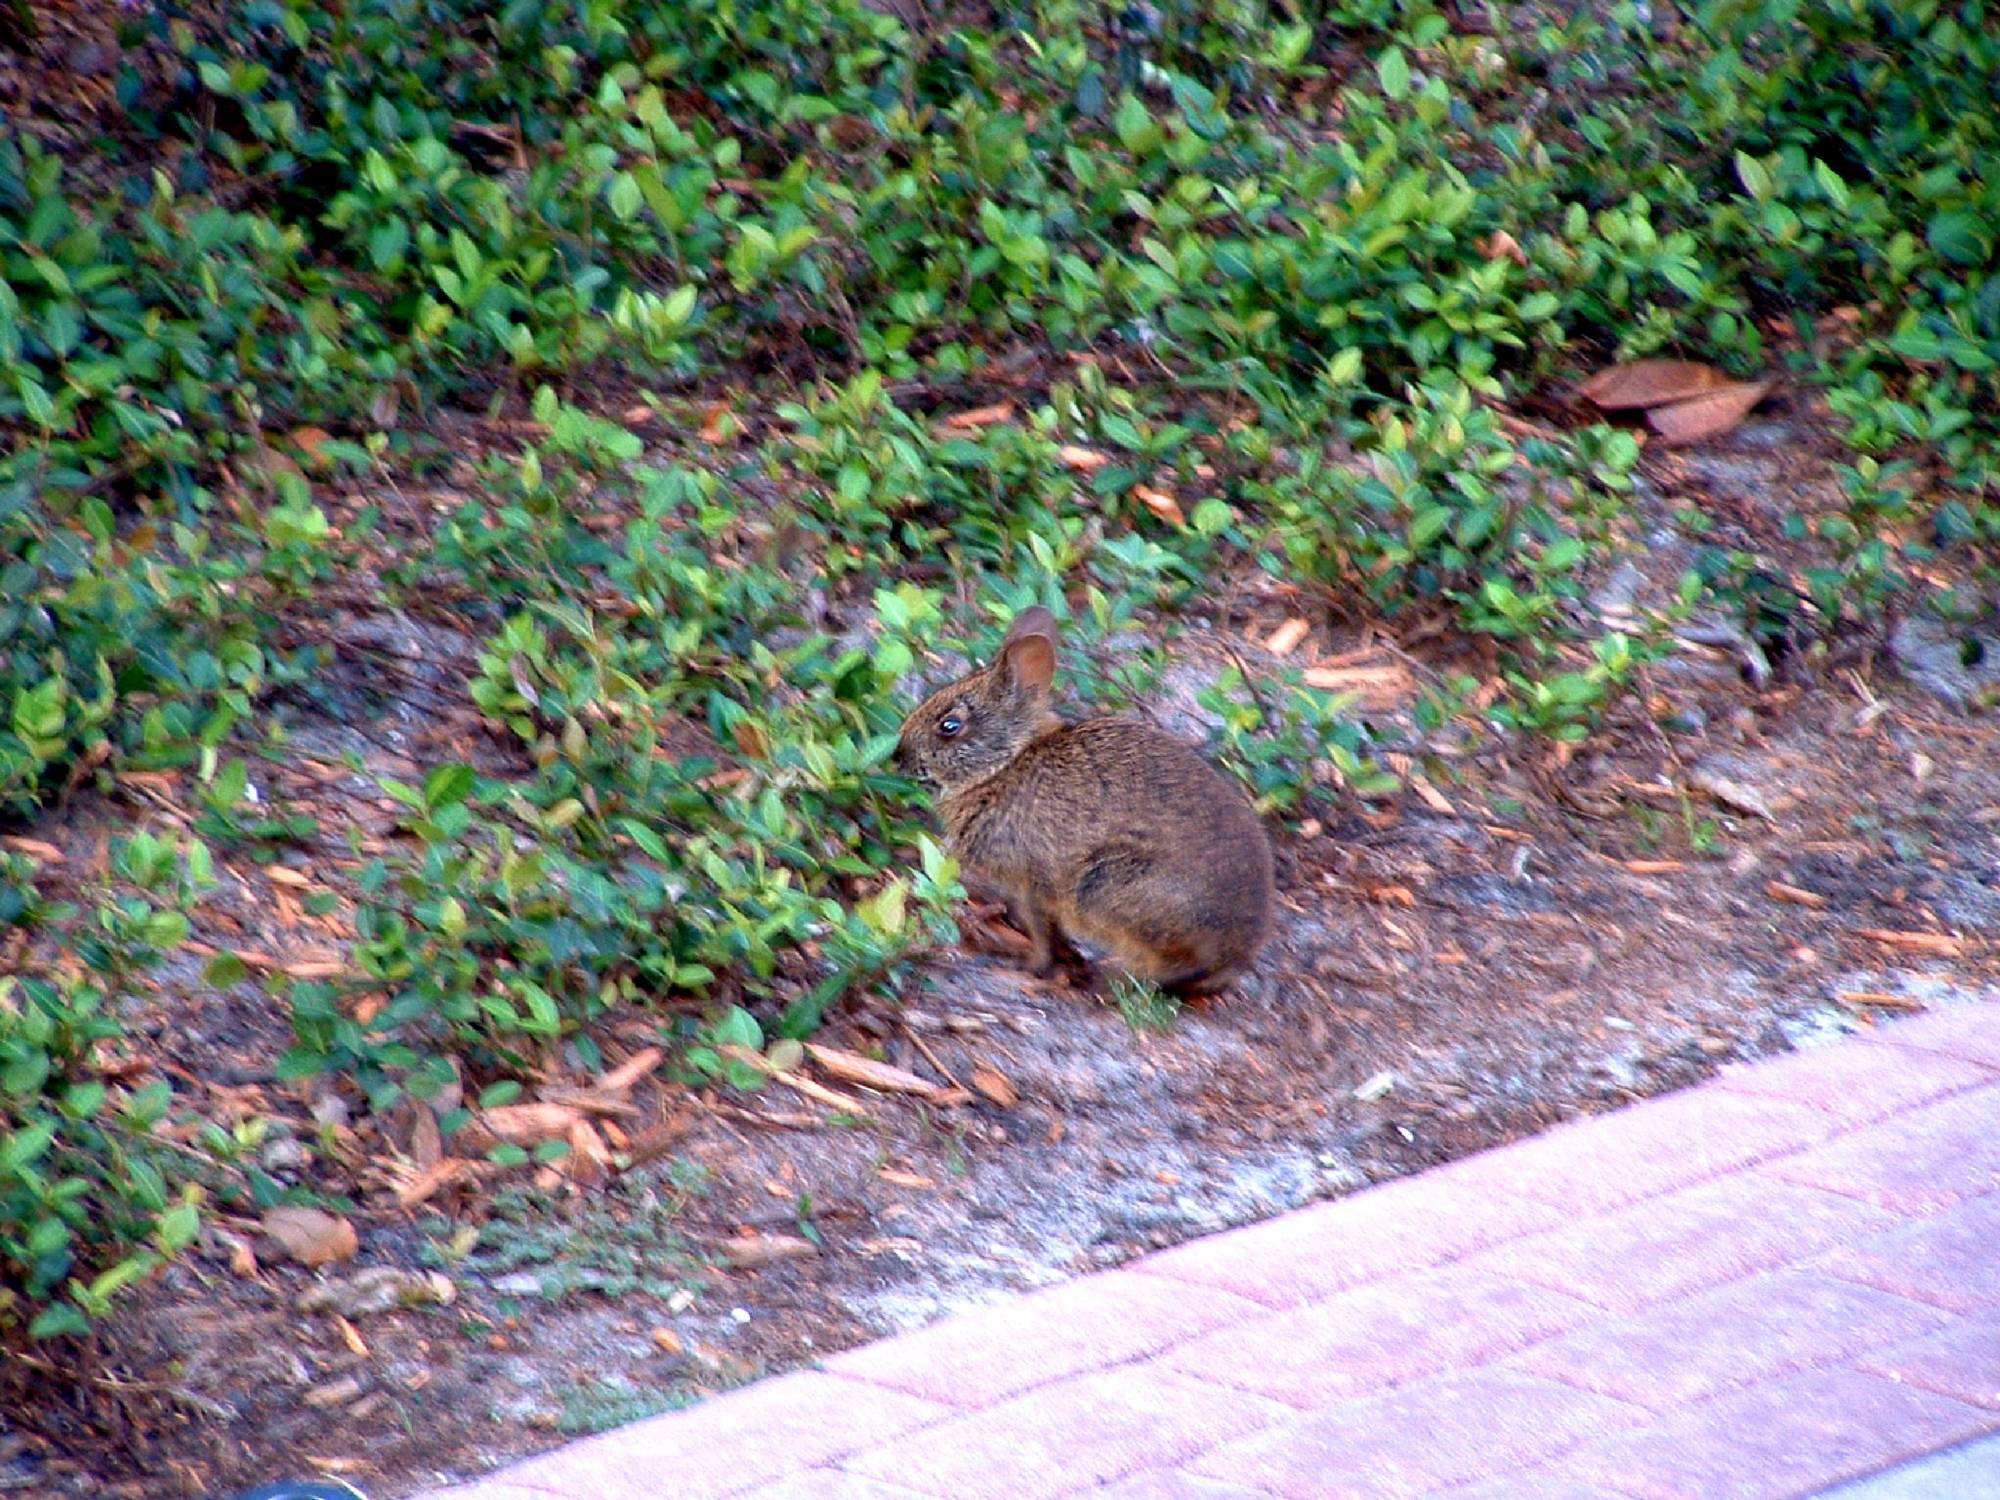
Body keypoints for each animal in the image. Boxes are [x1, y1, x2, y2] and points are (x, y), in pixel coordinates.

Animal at [896, 600, 1272, 1000]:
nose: (897, 755)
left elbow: (1041, 931)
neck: (1006, 764)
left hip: (1105, 887)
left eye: (949, 727)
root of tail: (1237, 951)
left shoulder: (1031, 883)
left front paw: (1030, 966)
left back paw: (1108, 980)